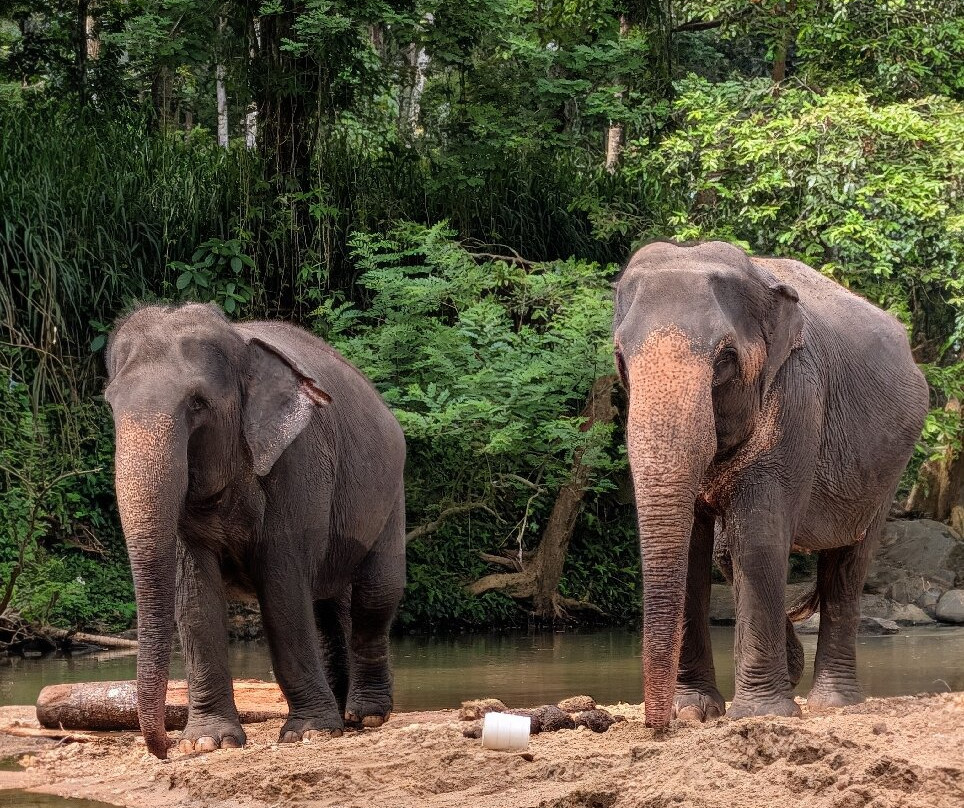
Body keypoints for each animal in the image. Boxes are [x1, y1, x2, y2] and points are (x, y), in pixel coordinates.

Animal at [104, 303, 406, 759]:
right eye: (110, 404)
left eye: (198, 404)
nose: (164, 749)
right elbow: (195, 599)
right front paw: (207, 742)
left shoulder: (299, 460)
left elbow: (281, 584)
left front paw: (309, 733)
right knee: (327, 605)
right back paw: (343, 714)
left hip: (391, 492)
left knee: (375, 595)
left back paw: (364, 716)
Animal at [612, 241, 928, 729]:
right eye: (621, 360)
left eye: (724, 360)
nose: (657, 729)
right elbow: (697, 552)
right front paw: (695, 711)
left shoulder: (796, 396)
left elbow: (759, 537)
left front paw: (761, 714)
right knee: (729, 553)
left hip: (890, 466)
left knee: (850, 562)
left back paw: (833, 703)